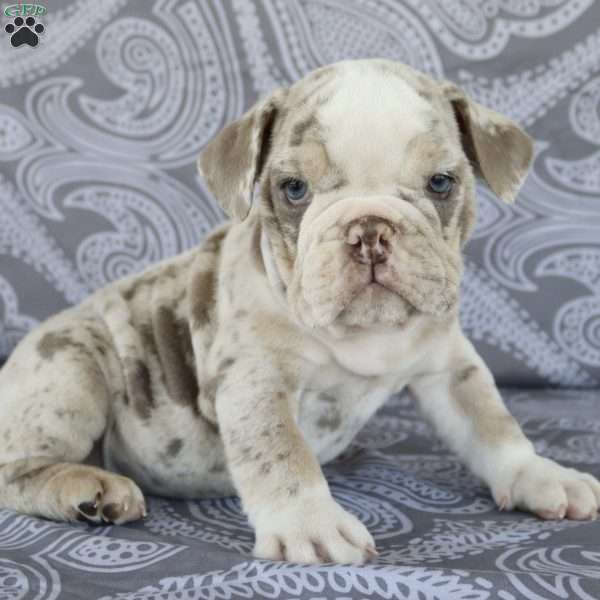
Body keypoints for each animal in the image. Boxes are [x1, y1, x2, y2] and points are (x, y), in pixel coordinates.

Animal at [1, 58, 600, 564]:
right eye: (294, 189)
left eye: (440, 183)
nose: (369, 230)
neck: (363, 334)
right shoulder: (255, 382)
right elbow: (281, 455)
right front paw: (312, 525)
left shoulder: (450, 368)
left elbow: (492, 424)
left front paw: (538, 475)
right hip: (72, 366)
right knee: (16, 469)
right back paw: (90, 490)